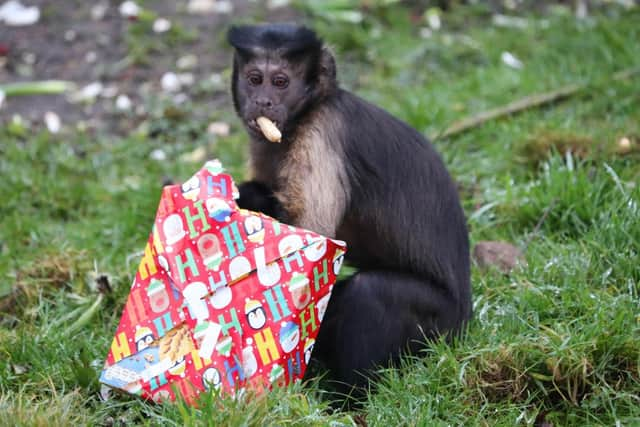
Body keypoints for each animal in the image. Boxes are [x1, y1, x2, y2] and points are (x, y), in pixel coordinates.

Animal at [228, 22, 472, 398]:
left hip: (438, 328)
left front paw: (242, 199)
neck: (304, 114)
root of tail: (466, 319)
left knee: (369, 293)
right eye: (255, 79)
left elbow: (310, 239)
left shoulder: (320, 137)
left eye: (280, 82)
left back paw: (349, 399)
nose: (263, 100)